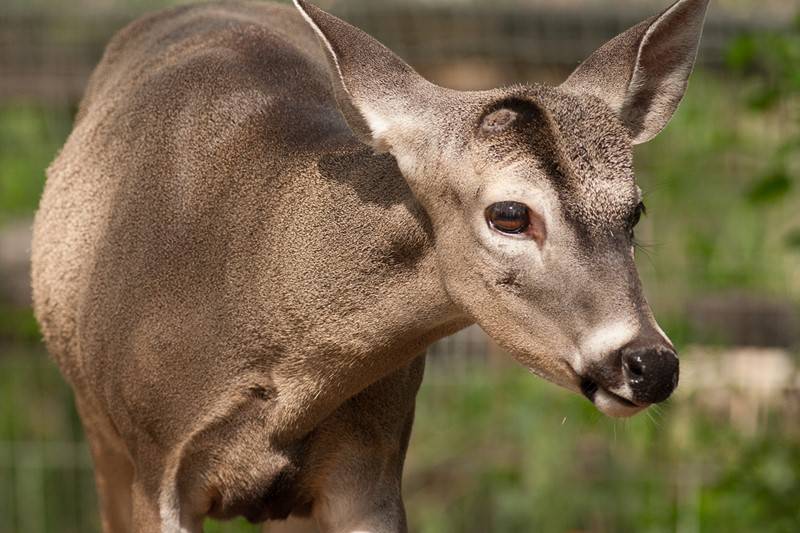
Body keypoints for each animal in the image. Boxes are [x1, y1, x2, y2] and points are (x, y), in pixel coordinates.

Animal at [31, 0, 708, 528]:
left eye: (635, 210)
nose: (651, 364)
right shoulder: (158, 463)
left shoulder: (371, 467)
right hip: (101, 434)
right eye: (511, 214)